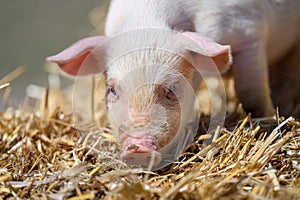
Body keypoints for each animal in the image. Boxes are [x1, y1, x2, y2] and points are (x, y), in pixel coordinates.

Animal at [47, 0, 300, 170]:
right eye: (111, 90)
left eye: (172, 89)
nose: (138, 147)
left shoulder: (248, 36)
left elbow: (251, 92)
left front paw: (267, 120)